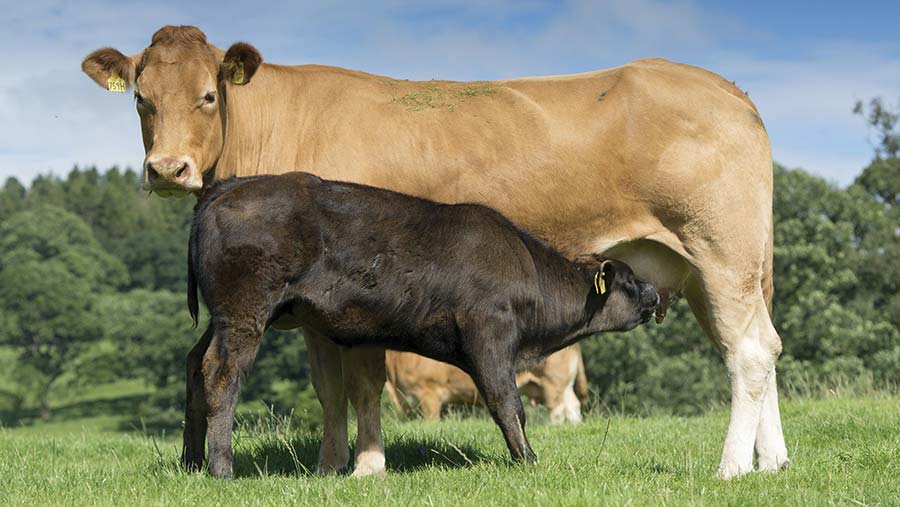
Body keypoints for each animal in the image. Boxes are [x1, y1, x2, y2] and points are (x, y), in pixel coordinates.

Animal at [384, 346, 588, 424]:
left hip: (552, 384)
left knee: (558, 410)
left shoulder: (429, 394)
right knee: (572, 406)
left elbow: (430, 422)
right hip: (564, 386)